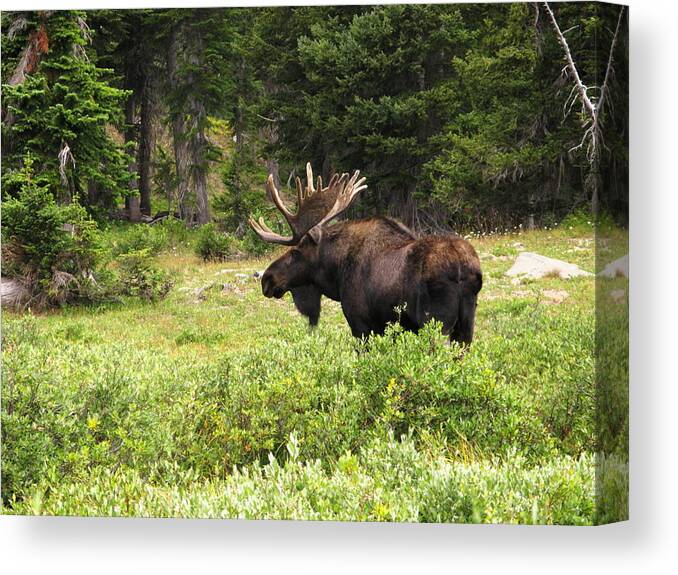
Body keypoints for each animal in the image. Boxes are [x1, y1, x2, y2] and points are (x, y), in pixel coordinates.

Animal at [251, 164, 484, 344]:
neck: (335, 274)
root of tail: (463, 270)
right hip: (466, 325)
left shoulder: (361, 323)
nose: (267, 279)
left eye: (296, 251)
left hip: (435, 322)